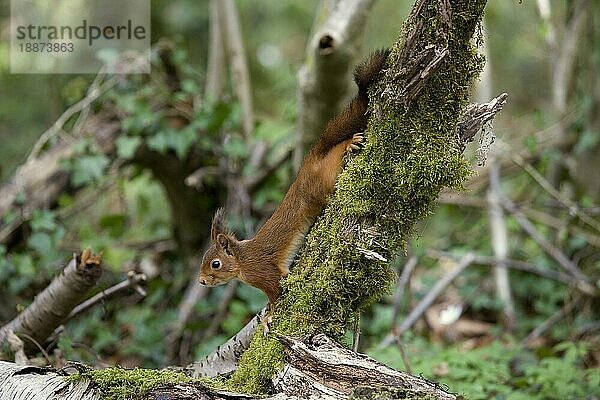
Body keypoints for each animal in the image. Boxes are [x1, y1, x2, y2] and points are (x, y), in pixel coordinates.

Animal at [198, 49, 390, 324]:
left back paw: (350, 143)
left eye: (215, 264)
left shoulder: (264, 273)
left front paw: (269, 316)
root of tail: (310, 162)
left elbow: (276, 292)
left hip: (322, 182)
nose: (201, 281)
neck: (242, 261)